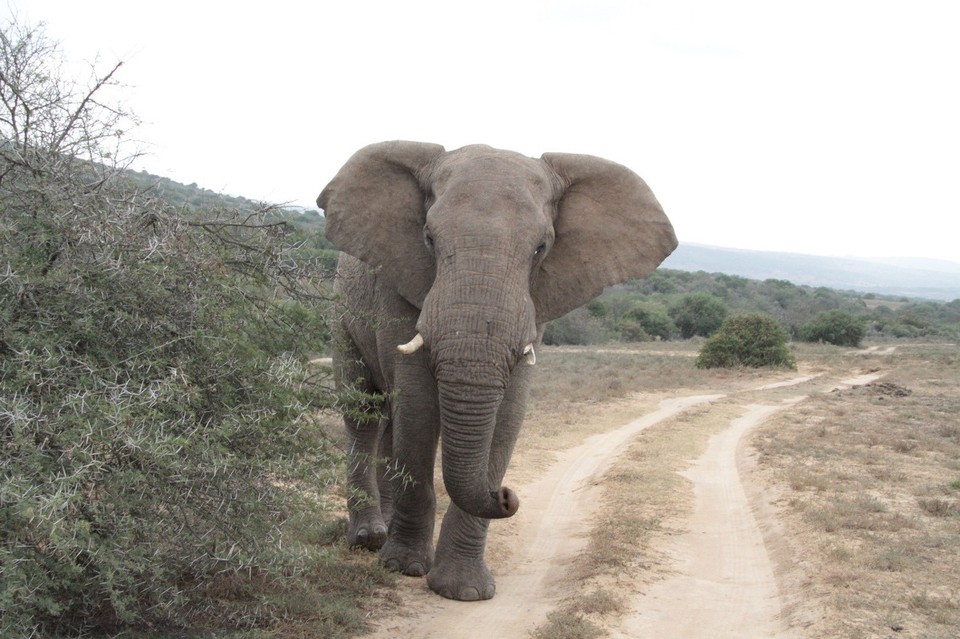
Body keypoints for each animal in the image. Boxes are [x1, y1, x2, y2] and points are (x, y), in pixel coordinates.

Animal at [316, 141, 676, 600]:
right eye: (428, 239)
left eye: (541, 248)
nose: (505, 495)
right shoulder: (399, 288)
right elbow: (416, 404)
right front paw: (403, 568)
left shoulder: (536, 305)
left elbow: (508, 415)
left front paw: (463, 591)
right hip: (342, 313)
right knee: (364, 413)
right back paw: (370, 540)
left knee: (388, 423)